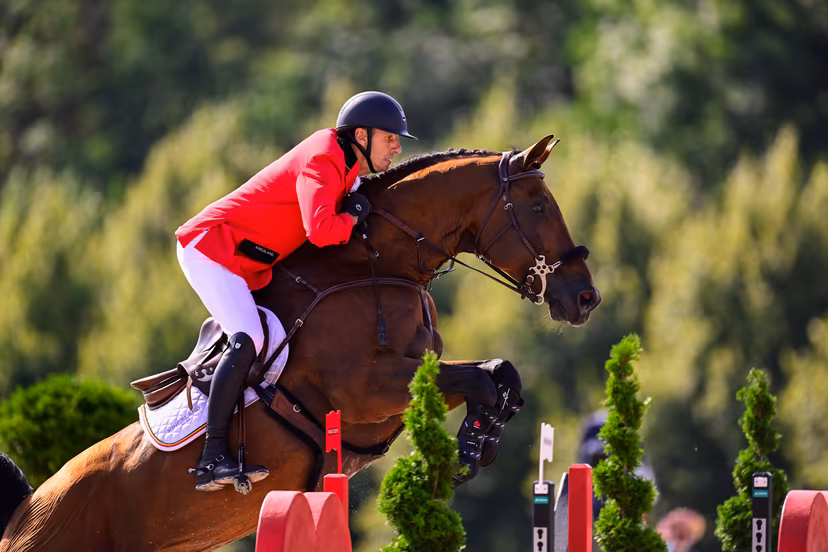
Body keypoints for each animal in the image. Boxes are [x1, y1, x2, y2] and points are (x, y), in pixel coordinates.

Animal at [0, 134, 600, 552]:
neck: (376, 265)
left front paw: (482, 438)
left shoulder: (413, 379)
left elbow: (499, 372)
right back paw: (220, 468)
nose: (586, 298)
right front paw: (476, 445)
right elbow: (480, 376)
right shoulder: (367, 391)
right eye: (539, 207)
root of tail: (23, 513)